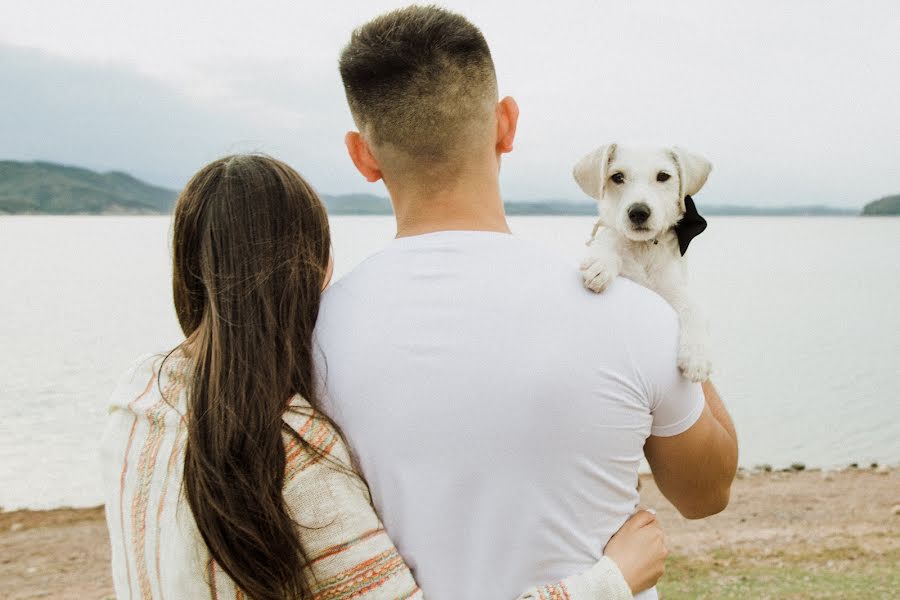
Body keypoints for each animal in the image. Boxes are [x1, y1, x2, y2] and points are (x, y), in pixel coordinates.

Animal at [572, 143, 712, 382]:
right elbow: (610, 240)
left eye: (663, 176)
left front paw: (697, 355)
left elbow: (694, 309)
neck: (643, 248)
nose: (638, 212)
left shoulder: (673, 288)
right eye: (617, 177)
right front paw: (602, 262)